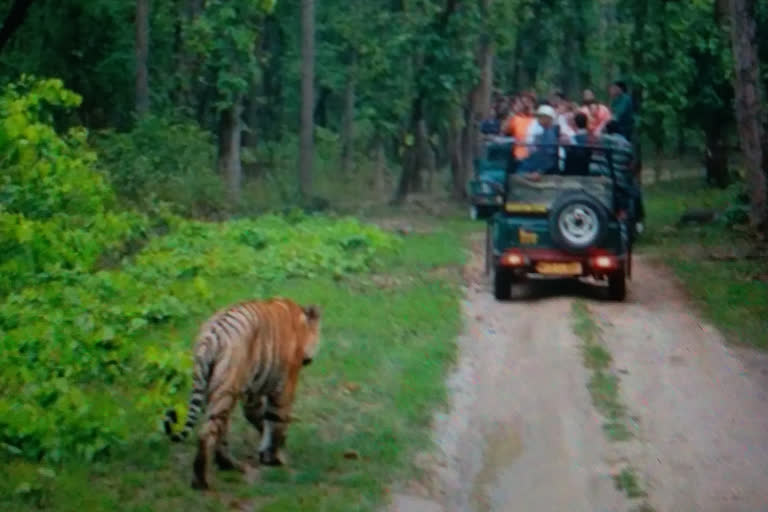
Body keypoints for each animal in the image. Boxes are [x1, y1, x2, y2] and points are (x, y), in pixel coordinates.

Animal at [162, 298, 320, 490]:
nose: (310, 358)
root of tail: (211, 333)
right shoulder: (284, 387)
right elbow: (276, 421)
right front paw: (274, 458)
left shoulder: (253, 394)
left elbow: (260, 419)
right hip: (227, 389)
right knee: (207, 434)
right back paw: (201, 482)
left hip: (213, 391)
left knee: (220, 432)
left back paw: (229, 465)